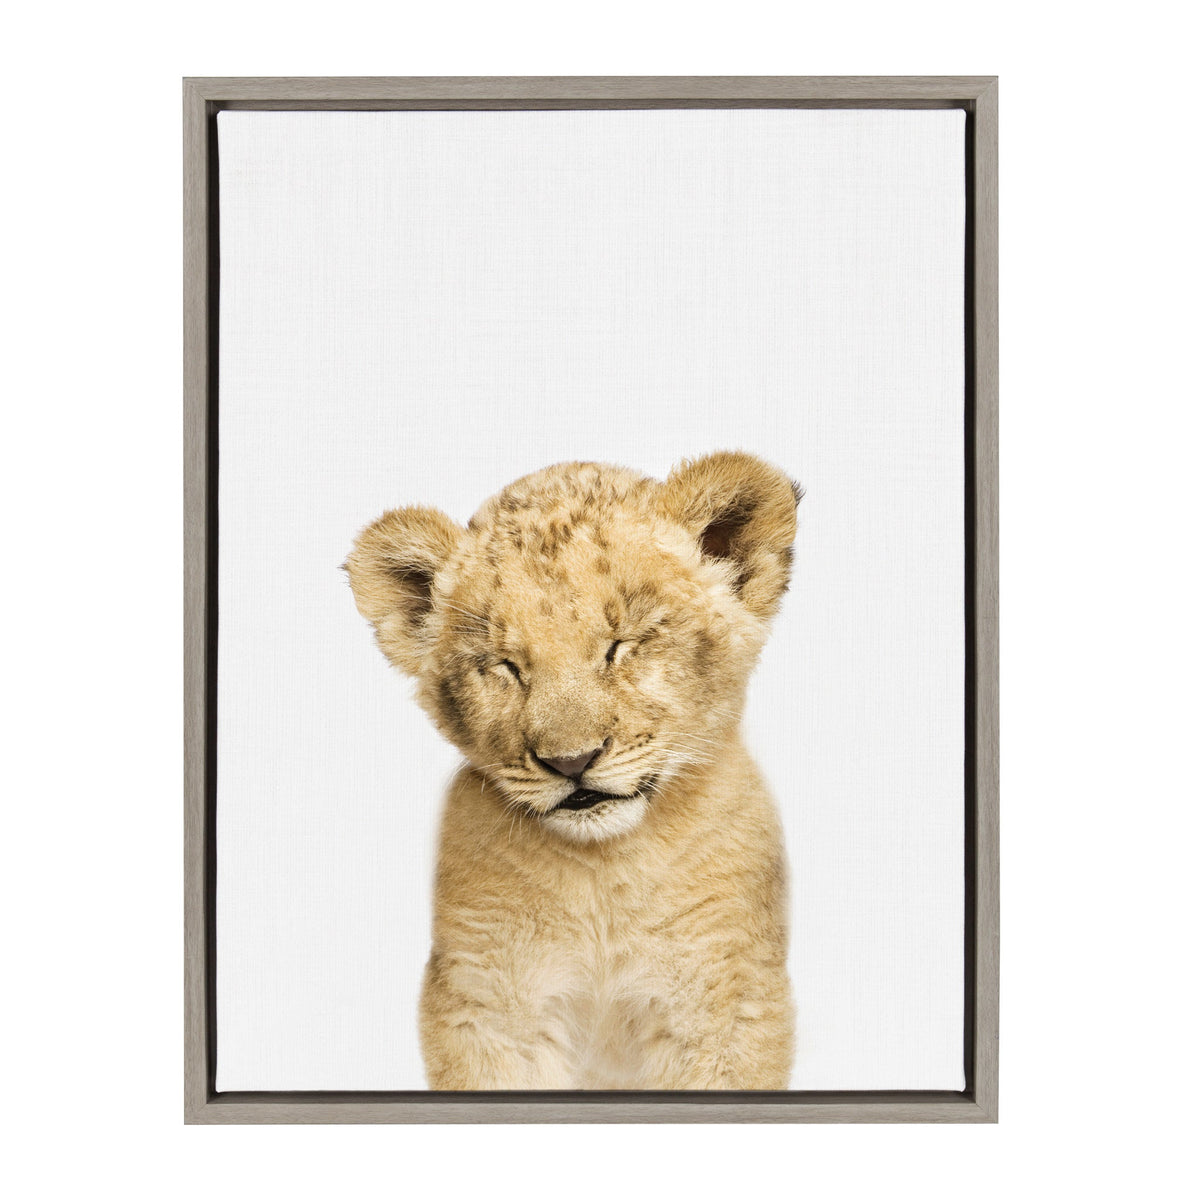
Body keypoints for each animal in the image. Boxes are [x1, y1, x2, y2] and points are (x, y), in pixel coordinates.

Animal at [345, 451, 801, 1089]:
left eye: (622, 644)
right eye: (505, 666)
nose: (571, 761)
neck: (602, 874)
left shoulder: (725, 1001)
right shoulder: (484, 1005)